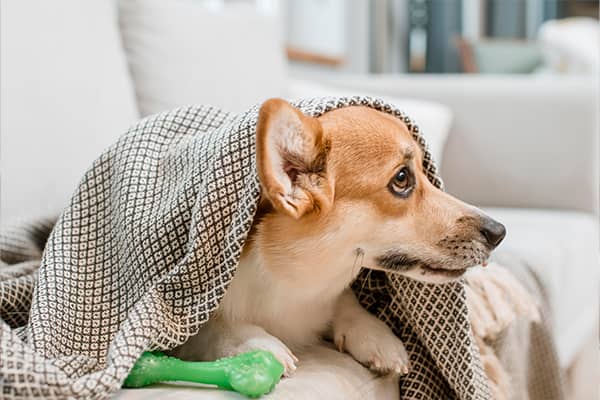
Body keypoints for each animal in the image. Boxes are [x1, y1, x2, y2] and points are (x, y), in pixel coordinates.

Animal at [171, 98, 504, 380]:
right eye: (401, 179)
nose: (499, 232)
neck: (292, 282)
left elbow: (346, 302)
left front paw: (376, 336)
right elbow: (212, 328)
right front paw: (256, 344)